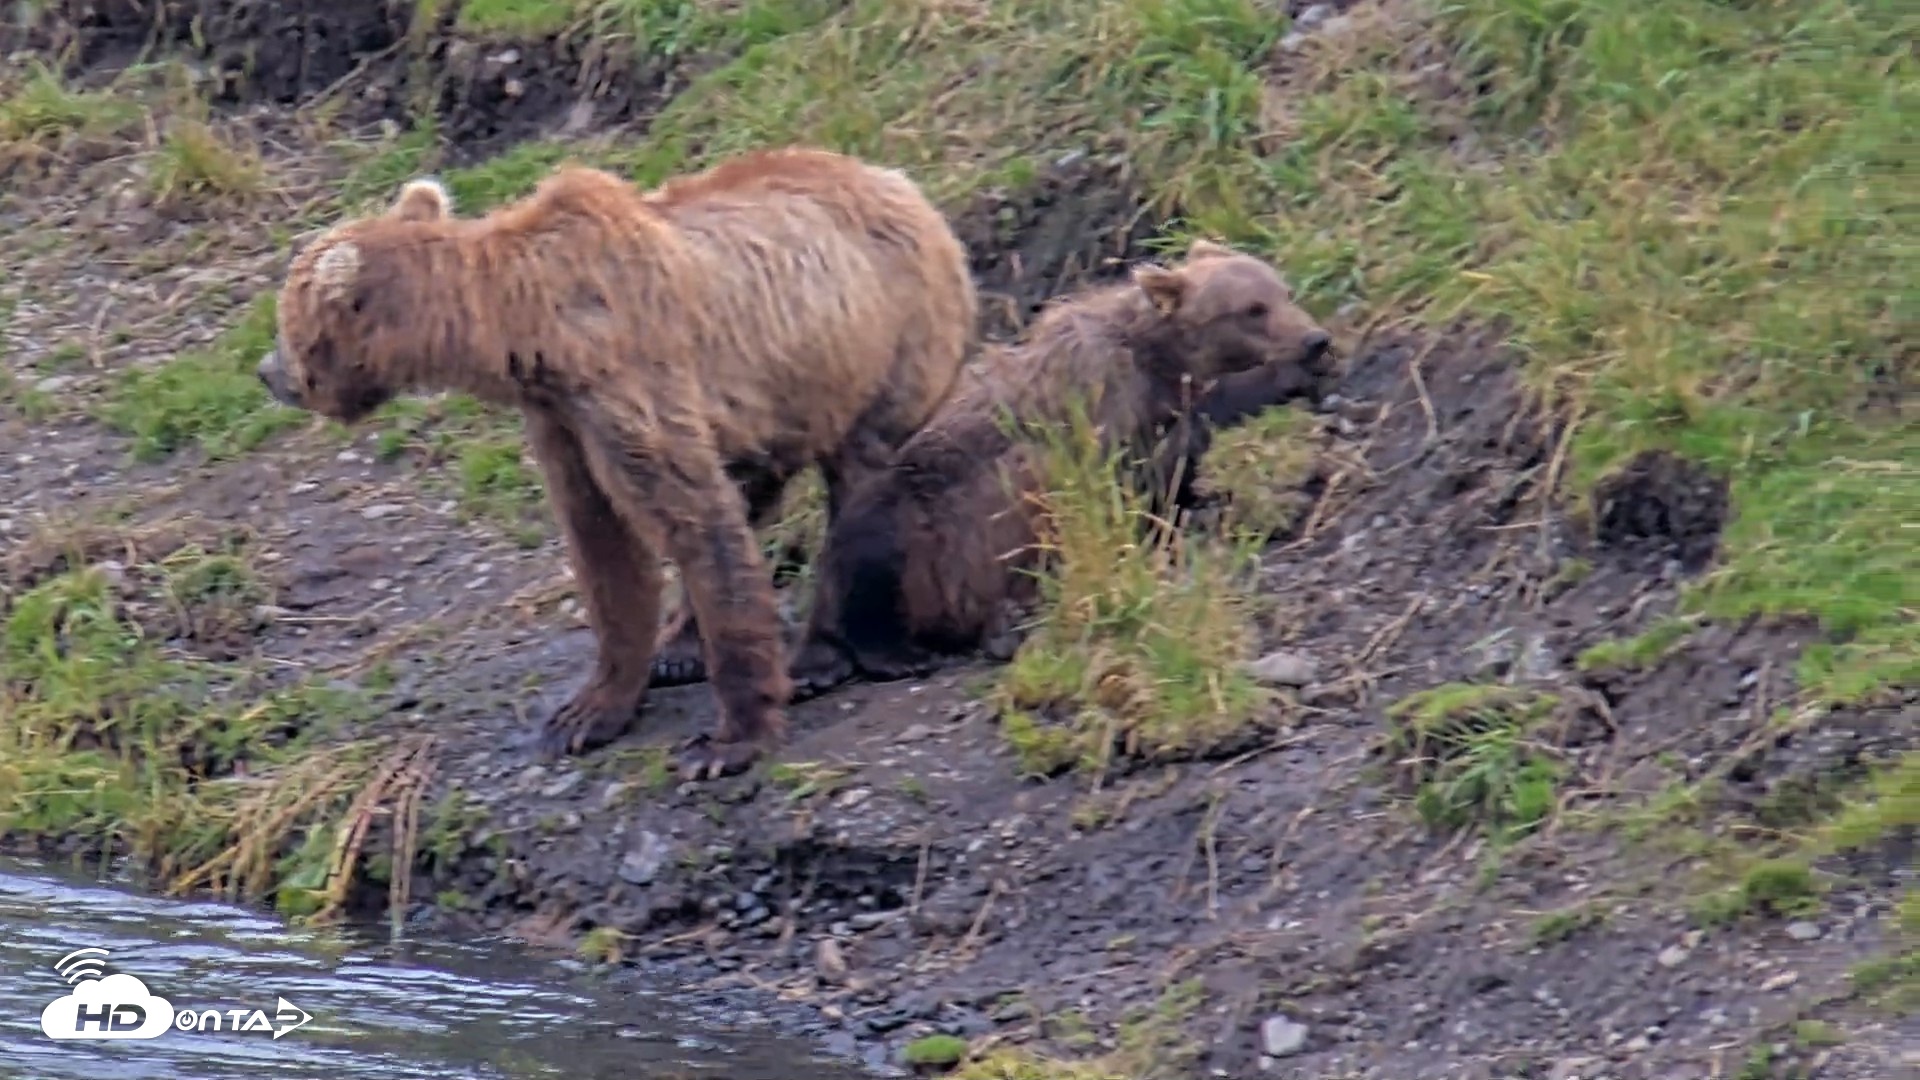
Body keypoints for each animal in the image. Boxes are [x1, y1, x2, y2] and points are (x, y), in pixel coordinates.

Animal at [254, 147, 979, 780]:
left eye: (287, 319)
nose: (267, 371)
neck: (522, 322)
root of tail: (903, 184)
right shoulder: (560, 416)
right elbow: (603, 543)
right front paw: (586, 713)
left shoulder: (621, 377)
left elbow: (689, 514)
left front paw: (726, 741)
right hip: (783, 390)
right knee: (754, 485)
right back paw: (680, 648)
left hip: (885, 341)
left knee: (859, 479)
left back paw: (825, 655)